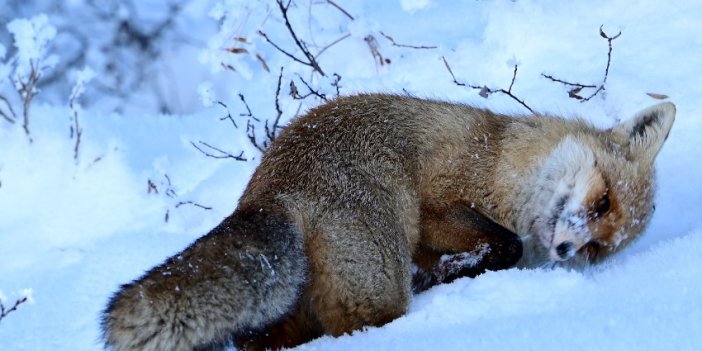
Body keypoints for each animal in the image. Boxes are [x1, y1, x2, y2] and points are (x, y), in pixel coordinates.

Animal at [100, 94, 676, 351]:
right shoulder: (439, 200)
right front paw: (459, 269)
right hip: (378, 285)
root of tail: (272, 188)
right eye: (603, 202)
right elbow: (504, 244)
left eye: (600, 248)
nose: (567, 251)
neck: (506, 164)